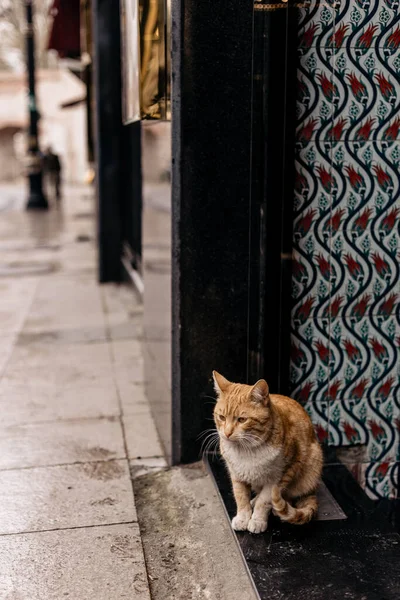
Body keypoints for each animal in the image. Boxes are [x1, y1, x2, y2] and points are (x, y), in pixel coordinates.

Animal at [212, 370, 322, 536]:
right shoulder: (236, 475)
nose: (227, 433)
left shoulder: (277, 479)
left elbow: (264, 502)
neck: (247, 450)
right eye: (222, 417)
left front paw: (257, 520)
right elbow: (241, 498)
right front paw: (243, 518)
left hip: (311, 465)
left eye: (242, 419)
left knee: (289, 496)